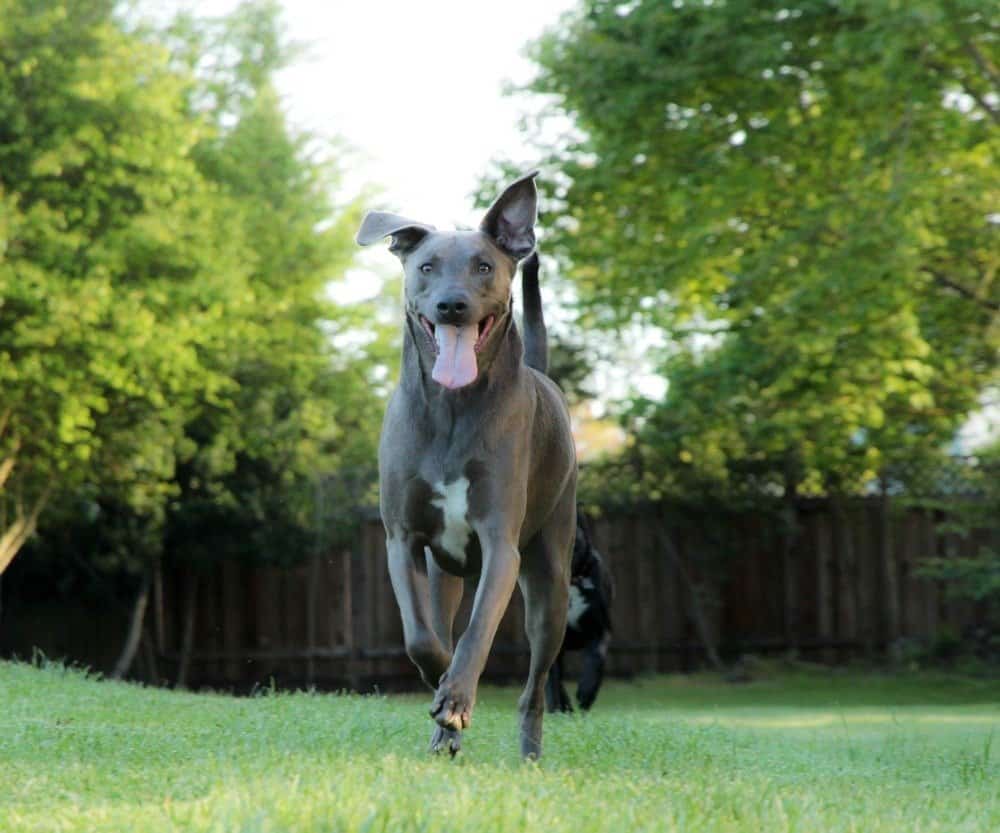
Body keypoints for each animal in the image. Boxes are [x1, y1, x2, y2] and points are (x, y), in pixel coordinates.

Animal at [358, 172, 580, 756]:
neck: (453, 408)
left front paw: (455, 700)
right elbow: (423, 638)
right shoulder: (402, 539)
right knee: (441, 623)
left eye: (484, 266)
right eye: (426, 267)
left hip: (552, 579)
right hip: (445, 574)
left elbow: (477, 633)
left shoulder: (501, 543)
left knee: (536, 683)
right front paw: (443, 696)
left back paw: (528, 750)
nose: (451, 305)